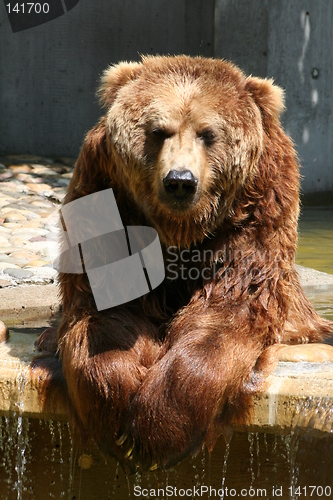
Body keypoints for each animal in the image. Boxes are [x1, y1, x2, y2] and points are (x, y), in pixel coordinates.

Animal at [35, 55, 330, 472]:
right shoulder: (106, 199)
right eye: (159, 131)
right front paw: (116, 408)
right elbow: (104, 311)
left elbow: (227, 310)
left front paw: (156, 427)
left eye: (208, 133)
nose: (180, 181)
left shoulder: (255, 216)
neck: (180, 232)